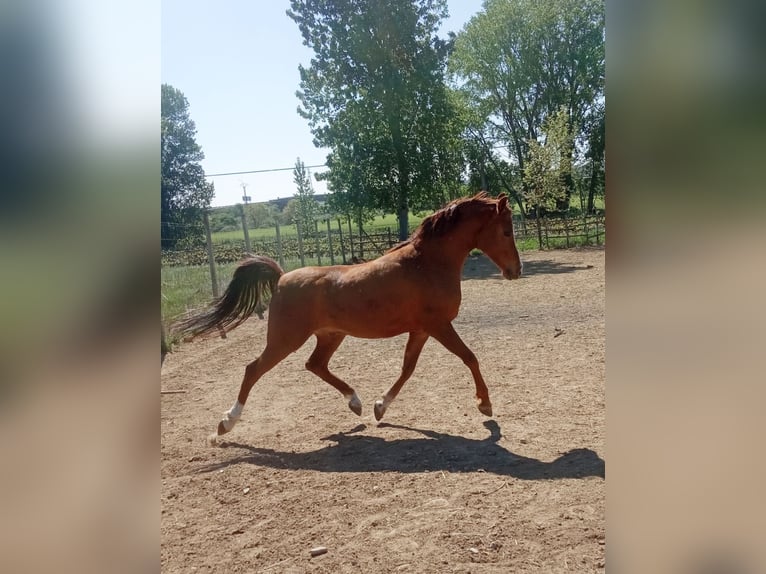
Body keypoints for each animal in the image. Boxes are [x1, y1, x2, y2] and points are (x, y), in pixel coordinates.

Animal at [172, 192, 523, 437]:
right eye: (506, 231)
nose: (515, 271)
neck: (427, 264)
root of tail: (281, 278)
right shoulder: (439, 325)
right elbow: (469, 357)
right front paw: (485, 404)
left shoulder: (422, 330)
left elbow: (407, 369)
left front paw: (380, 407)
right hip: (286, 339)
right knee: (253, 370)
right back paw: (226, 424)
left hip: (330, 336)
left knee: (315, 365)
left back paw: (355, 403)